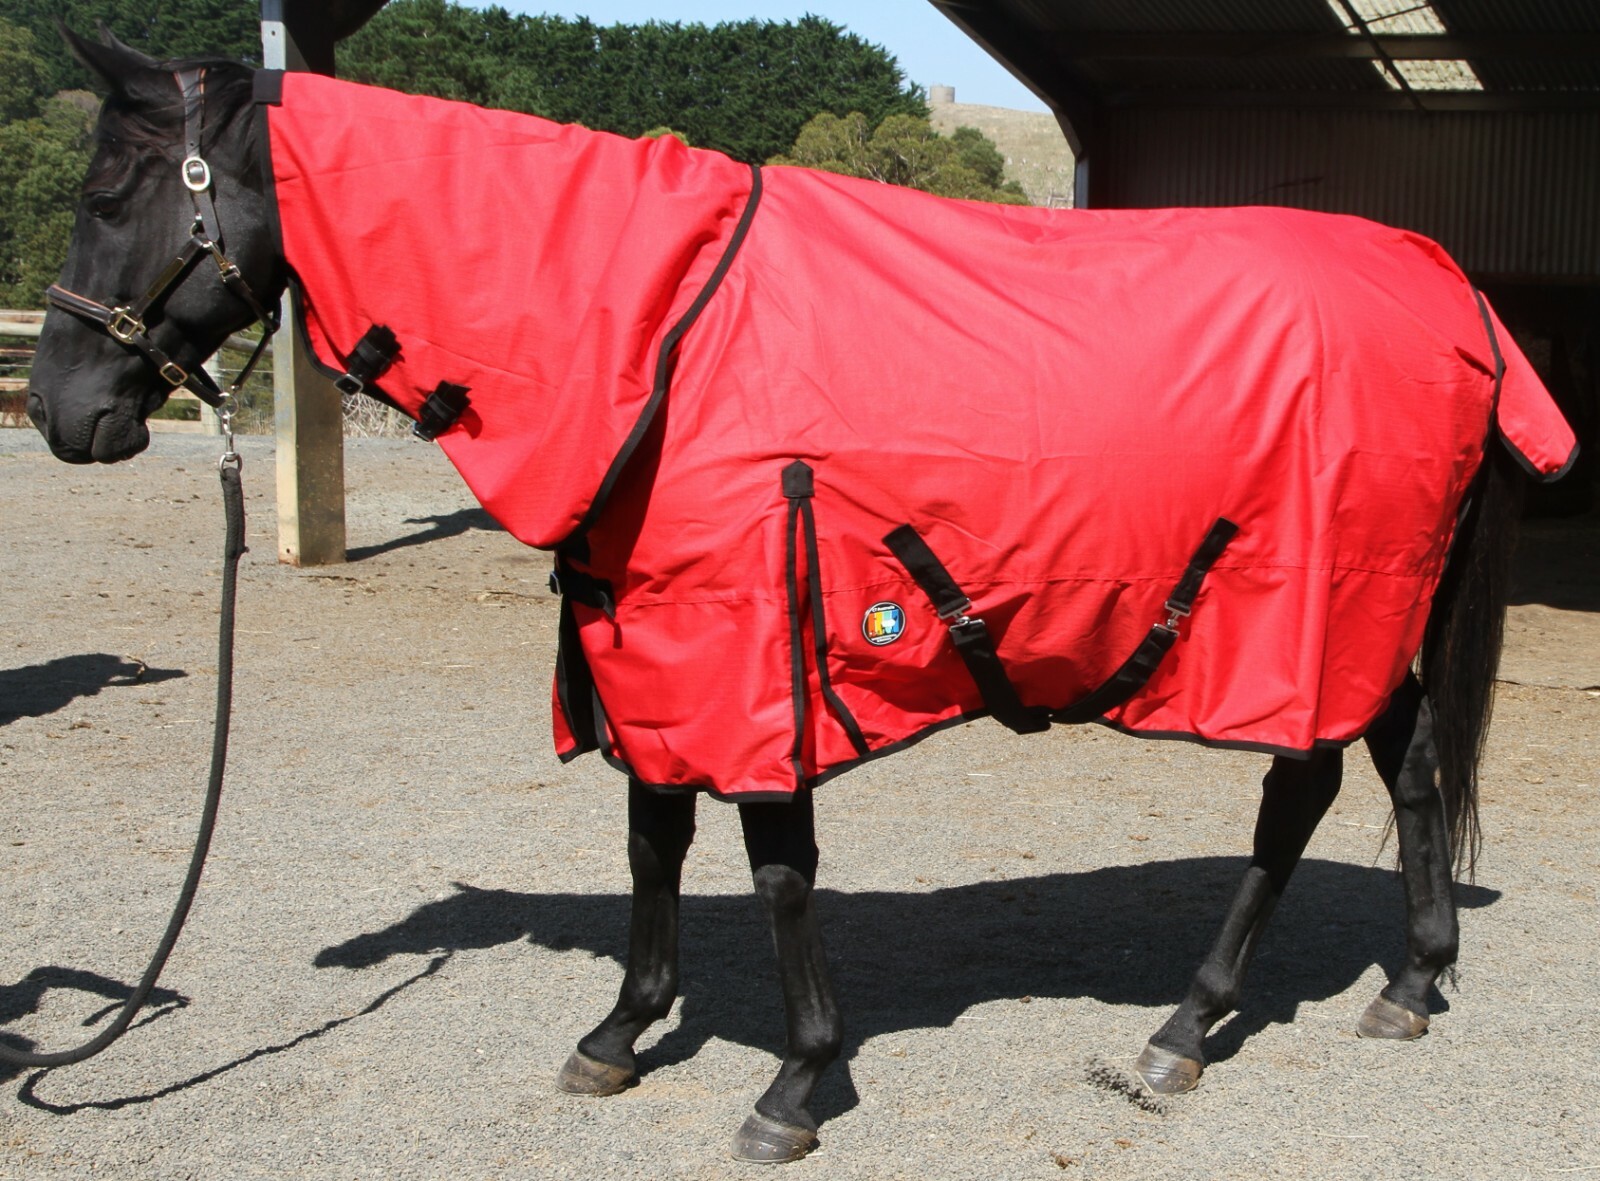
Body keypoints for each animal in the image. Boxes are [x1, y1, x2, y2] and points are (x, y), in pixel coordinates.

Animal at [25, 30, 1576, 1163]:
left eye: (111, 196)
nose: (60, 412)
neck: (665, 327)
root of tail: (1451, 291)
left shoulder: (757, 645)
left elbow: (774, 869)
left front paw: (795, 1081)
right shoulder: (649, 639)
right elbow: (652, 837)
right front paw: (621, 1030)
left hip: (1311, 610)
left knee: (1296, 791)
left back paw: (1190, 1025)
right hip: (1385, 611)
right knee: (1413, 767)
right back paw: (1410, 982)